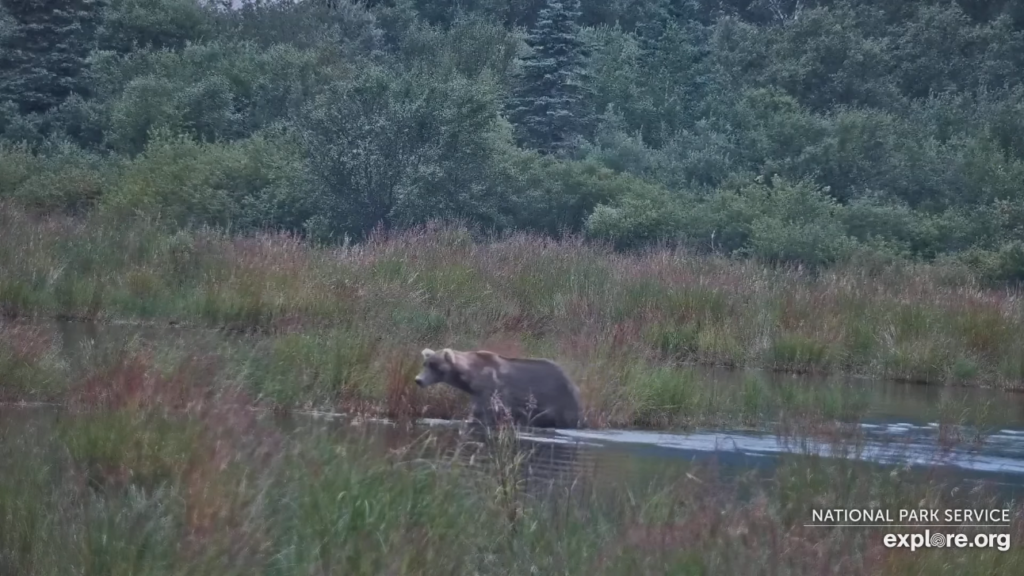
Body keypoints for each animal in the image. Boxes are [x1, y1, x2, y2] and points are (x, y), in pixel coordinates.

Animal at [409, 344, 585, 426]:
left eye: (435, 366)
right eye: (425, 364)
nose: (418, 379)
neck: (470, 376)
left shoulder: (489, 388)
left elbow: (483, 412)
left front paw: (471, 420)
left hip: (557, 399)